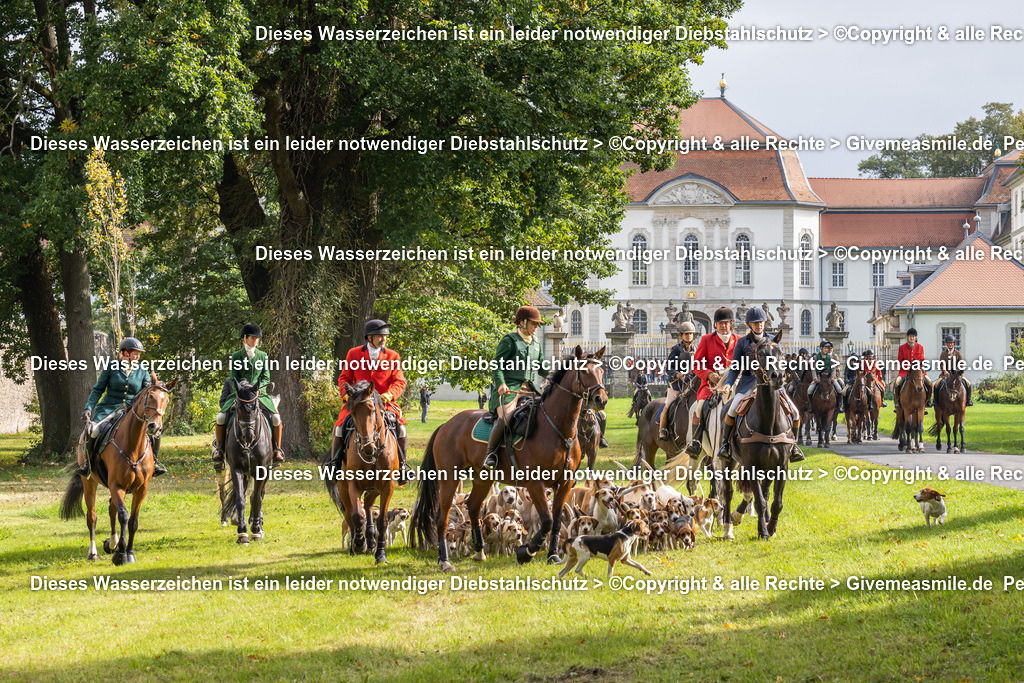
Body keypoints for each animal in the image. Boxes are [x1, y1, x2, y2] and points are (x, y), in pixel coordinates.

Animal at [60, 374, 176, 565]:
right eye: (150, 396)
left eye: (166, 400)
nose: (155, 427)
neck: (133, 445)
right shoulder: (117, 485)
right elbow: (123, 515)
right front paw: (121, 554)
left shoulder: (140, 489)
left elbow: (133, 521)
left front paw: (128, 551)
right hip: (89, 482)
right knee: (92, 517)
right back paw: (93, 553)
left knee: (111, 507)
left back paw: (111, 542)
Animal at [216, 378, 274, 544]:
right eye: (237, 408)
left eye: (255, 407)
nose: (248, 436)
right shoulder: (237, 469)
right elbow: (241, 499)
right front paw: (242, 533)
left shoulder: (262, 471)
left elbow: (256, 500)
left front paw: (255, 530)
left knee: (259, 495)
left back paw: (259, 526)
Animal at [323, 382, 399, 565]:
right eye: (352, 413)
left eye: (372, 410)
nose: (367, 447)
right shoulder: (353, 484)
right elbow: (357, 516)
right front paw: (359, 543)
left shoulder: (387, 486)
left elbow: (382, 520)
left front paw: (381, 554)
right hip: (344, 489)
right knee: (351, 514)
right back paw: (357, 545)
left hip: (375, 488)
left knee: (368, 504)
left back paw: (371, 540)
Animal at [409, 348, 602, 573]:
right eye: (585, 371)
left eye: (601, 370)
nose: (602, 399)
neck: (559, 429)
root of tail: (447, 425)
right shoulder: (535, 484)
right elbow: (546, 520)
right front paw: (527, 552)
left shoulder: (564, 483)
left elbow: (554, 522)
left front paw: (552, 554)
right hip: (449, 478)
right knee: (443, 517)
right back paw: (444, 560)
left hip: (482, 478)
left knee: (473, 507)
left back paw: (479, 551)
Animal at [716, 333, 794, 540]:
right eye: (760, 355)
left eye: (780, 353)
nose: (778, 377)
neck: (769, 423)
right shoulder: (751, 465)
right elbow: (759, 501)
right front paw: (763, 531)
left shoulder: (781, 465)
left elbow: (775, 502)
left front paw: (771, 527)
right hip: (728, 461)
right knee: (727, 491)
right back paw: (728, 527)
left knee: (764, 491)